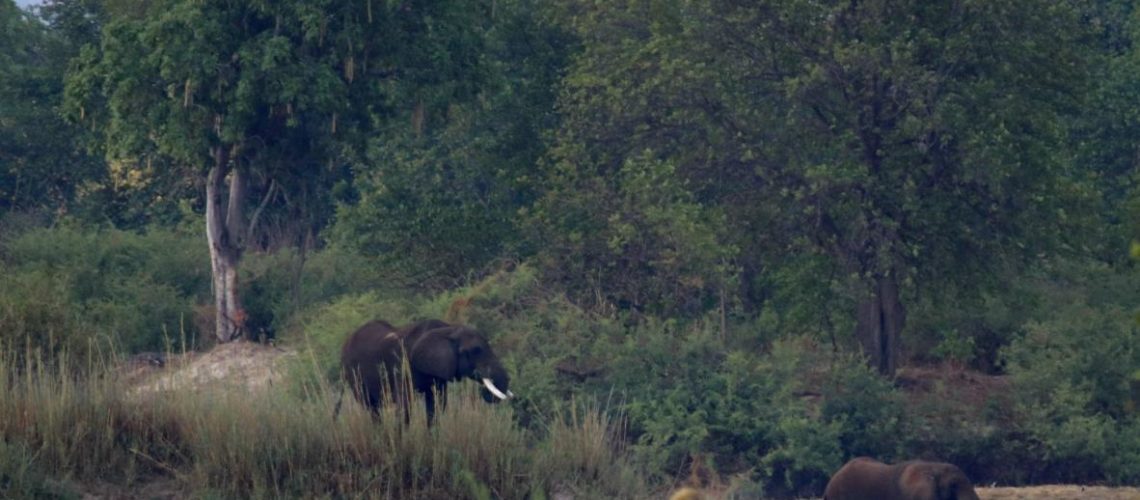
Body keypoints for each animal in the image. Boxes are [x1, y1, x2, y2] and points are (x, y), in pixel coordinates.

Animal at [337, 318, 513, 425]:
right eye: (475, 350)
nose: (485, 392)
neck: (448, 329)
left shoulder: (439, 373)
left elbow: (437, 405)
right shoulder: (402, 364)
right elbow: (405, 406)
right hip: (352, 371)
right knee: (371, 407)